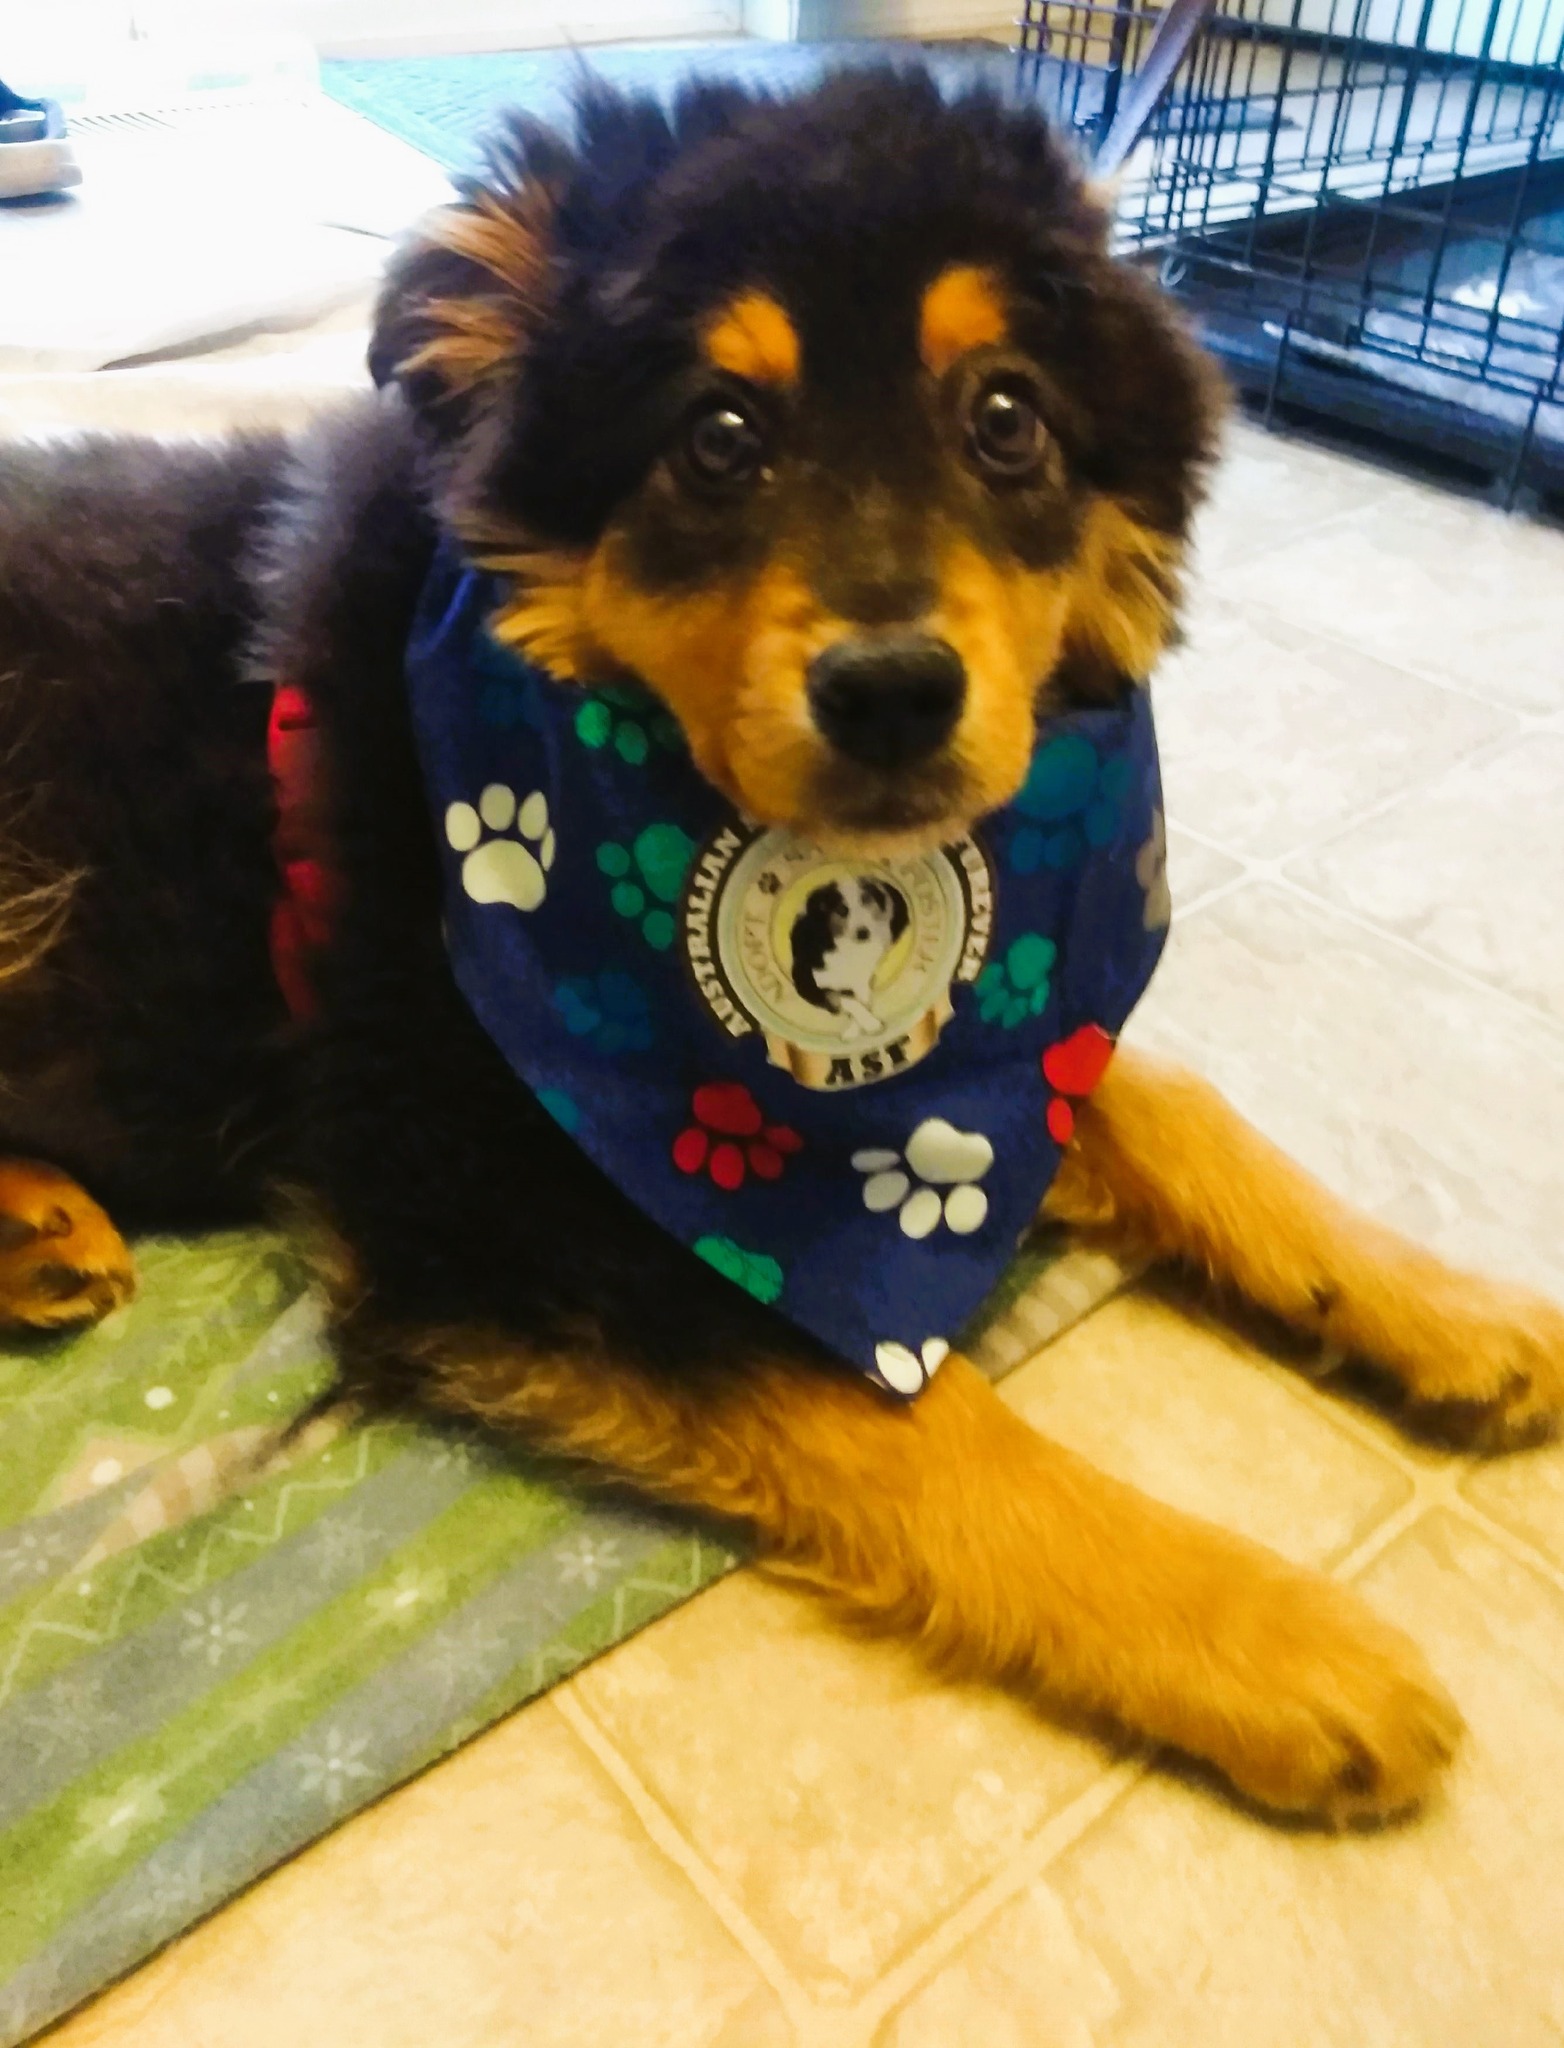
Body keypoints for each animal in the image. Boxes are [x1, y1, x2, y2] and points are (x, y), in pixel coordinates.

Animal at [3, 68, 1563, 1826]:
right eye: (720, 437)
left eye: (1007, 418)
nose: (893, 695)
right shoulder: (483, 1209)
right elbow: (915, 1420)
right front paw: (1278, 1641)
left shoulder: (1007, 1051)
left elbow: (1170, 1102)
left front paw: (1450, 1308)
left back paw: (37, 1232)